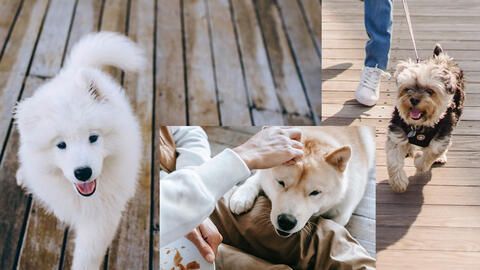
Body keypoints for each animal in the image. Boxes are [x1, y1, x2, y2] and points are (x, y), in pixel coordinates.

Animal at [15, 32, 146, 270]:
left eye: (93, 138)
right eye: (61, 145)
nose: (83, 172)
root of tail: (73, 71)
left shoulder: (101, 217)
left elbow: (88, 255)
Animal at [229, 126, 376, 236]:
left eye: (315, 192)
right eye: (280, 183)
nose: (286, 221)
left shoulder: (343, 211)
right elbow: (255, 179)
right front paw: (241, 197)